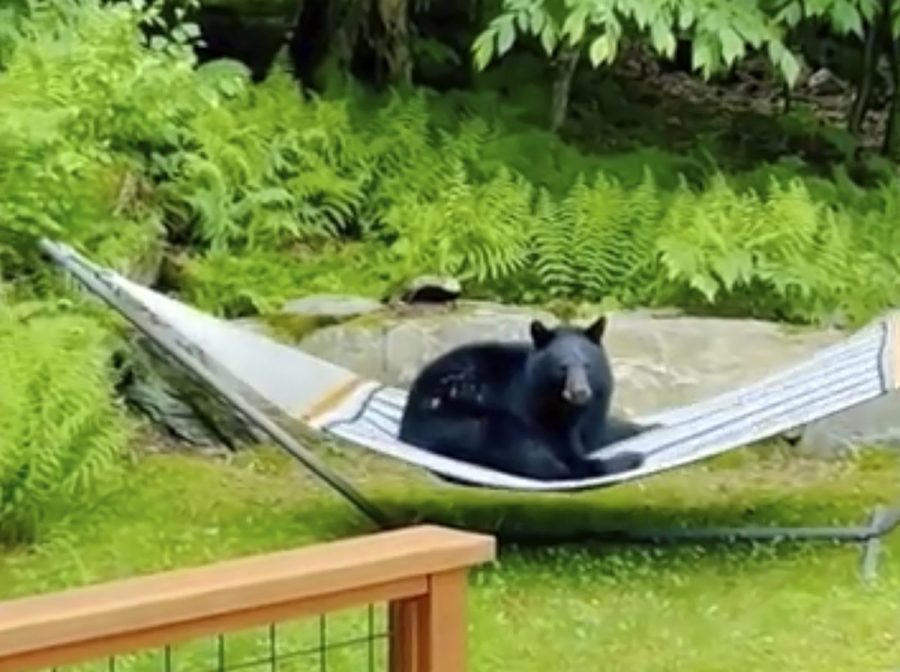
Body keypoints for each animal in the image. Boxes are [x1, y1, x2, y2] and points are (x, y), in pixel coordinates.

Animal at [397, 315, 656, 483]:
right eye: (562, 368)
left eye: (587, 366)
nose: (580, 392)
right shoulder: (535, 408)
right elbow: (565, 449)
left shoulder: (593, 411)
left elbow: (602, 431)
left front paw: (649, 426)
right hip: (466, 419)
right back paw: (630, 458)